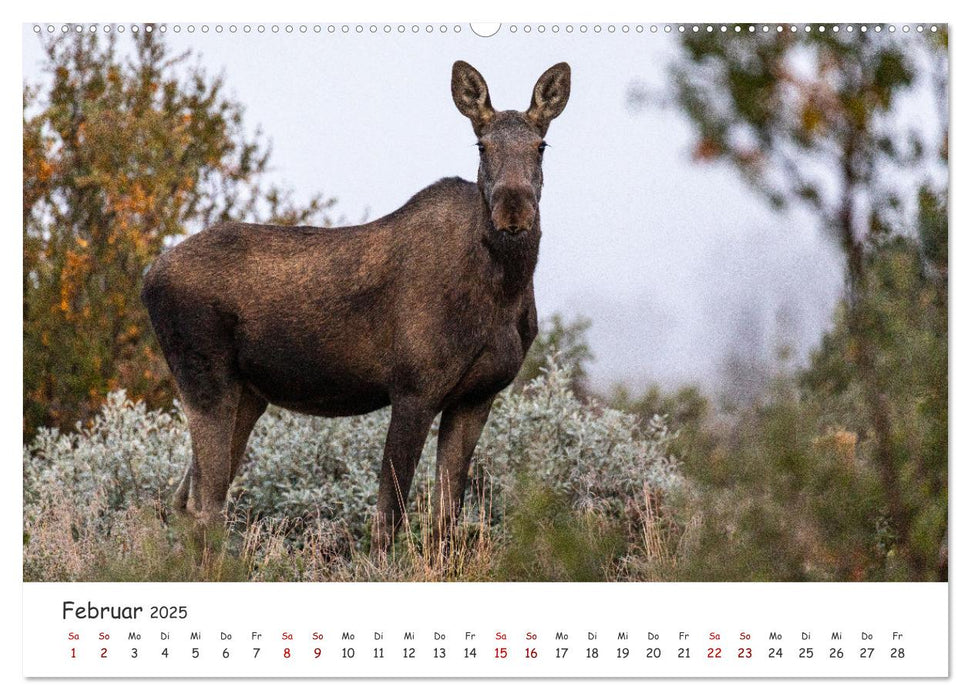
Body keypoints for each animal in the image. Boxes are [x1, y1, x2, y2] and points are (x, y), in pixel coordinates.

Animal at [140, 60, 572, 552]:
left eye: (541, 145)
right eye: (482, 144)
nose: (513, 210)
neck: (505, 289)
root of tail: (147, 279)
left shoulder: (477, 396)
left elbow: (445, 521)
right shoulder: (413, 389)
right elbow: (389, 518)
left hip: (248, 393)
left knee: (182, 501)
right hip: (204, 378)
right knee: (205, 506)